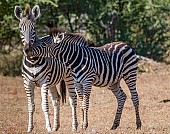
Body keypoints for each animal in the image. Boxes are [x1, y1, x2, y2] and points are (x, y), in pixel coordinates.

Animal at [13, 4, 77, 132]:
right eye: (20, 28)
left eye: (34, 28)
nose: (27, 50)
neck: (33, 61)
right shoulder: (27, 82)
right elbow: (31, 106)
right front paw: (30, 128)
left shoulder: (44, 82)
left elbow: (45, 105)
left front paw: (48, 127)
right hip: (52, 81)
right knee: (57, 99)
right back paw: (56, 126)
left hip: (68, 77)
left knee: (73, 99)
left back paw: (74, 126)